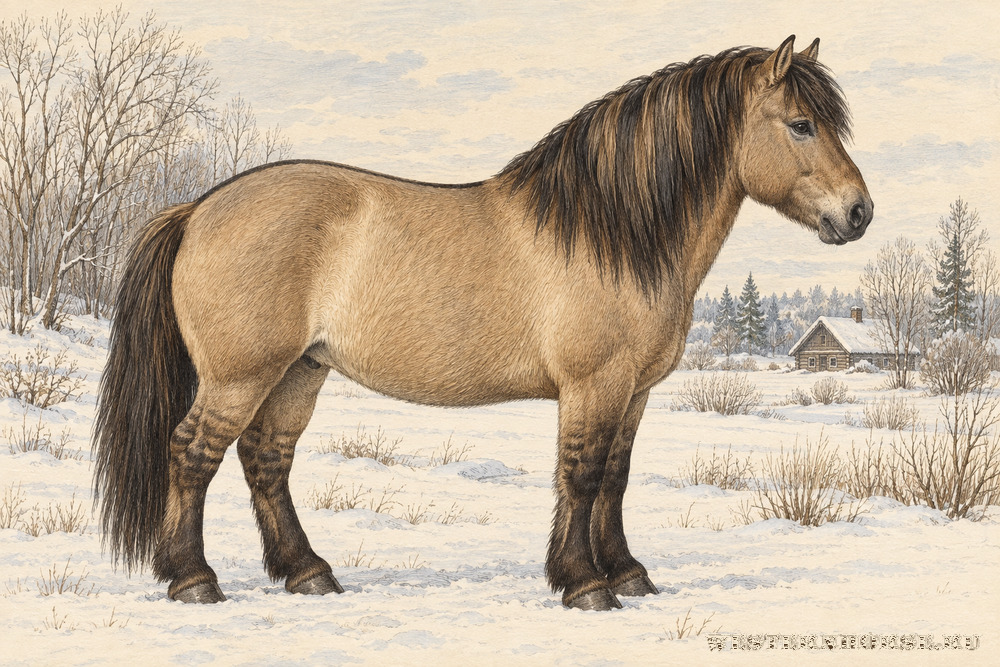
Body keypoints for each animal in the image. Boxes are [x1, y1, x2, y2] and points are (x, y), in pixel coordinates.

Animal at [93, 35, 872, 611]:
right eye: (801, 124)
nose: (859, 212)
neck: (611, 232)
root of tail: (197, 209)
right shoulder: (594, 385)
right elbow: (582, 474)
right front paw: (585, 583)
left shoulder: (635, 390)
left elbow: (616, 477)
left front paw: (627, 572)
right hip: (239, 374)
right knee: (193, 454)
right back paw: (194, 579)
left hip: (298, 372)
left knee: (266, 460)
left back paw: (309, 572)